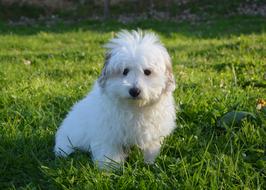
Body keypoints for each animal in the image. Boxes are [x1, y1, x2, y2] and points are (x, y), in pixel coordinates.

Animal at [54, 30, 176, 169]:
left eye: (147, 72)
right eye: (125, 71)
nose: (134, 91)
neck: (134, 107)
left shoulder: (152, 133)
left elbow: (150, 148)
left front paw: (149, 161)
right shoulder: (107, 133)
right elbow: (109, 152)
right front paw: (109, 168)